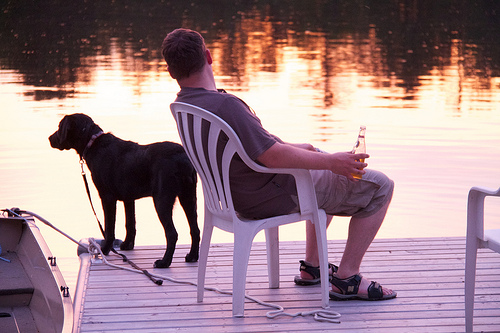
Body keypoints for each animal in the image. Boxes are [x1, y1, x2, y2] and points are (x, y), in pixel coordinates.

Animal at [48, 113, 199, 268]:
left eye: (59, 126)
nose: (49, 138)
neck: (92, 142)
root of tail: (183, 157)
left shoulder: (107, 197)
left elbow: (109, 228)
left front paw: (104, 250)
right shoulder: (129, 198)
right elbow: (130, 223)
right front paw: (127, 245)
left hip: (162, 199)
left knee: (172, 233)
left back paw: (164, 262)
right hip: (188, 197)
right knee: (195, 230)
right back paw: (192, 256)